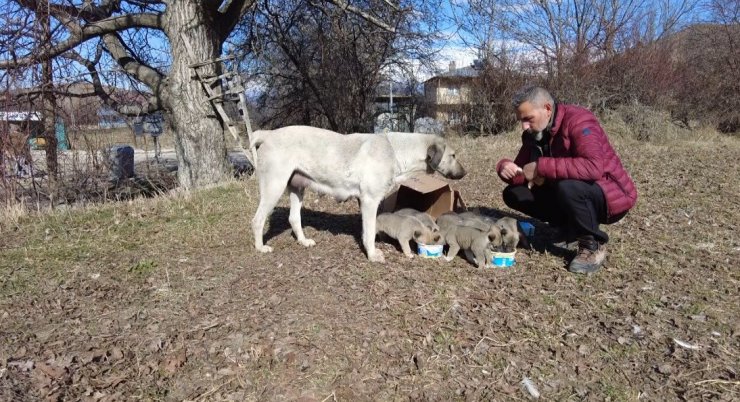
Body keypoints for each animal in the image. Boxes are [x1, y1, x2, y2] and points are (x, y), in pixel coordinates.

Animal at [251, 126, 466, 264]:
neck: (395, 150)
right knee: (257, 220)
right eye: (453, 155)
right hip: (274, 186)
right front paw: (372, 255)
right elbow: (369, 232)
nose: (465, 173)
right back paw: (260, 247)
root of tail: (268, 135)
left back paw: (304, 241)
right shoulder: (370, 201)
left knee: (294, 218)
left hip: (297, 188)